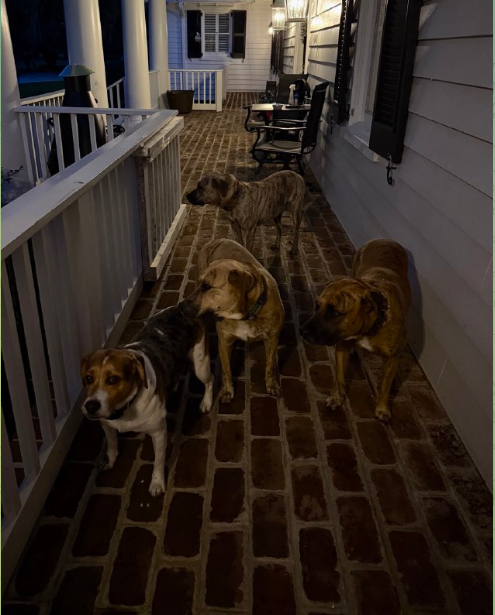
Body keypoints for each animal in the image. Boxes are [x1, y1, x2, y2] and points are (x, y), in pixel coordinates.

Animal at [80, 305, 214, 496]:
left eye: (113, 379)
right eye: (88, 378)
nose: (90, 406)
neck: (126, 408)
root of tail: (181, 307)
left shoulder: (159, 433)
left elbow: (158, 462)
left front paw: (157, 483)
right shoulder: (106, 425)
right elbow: (112, 444)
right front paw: (110, 460)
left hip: (201, 365)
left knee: (210, 380)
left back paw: (206, 402)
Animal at [185, 239, 284, 403]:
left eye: (207, 286)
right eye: (201, 285)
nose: (182, 305)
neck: (245, 315)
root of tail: (216, 240)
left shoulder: (272, 339)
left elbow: (270, 365)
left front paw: (272, 384)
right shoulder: (224, 342)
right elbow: (226, 370)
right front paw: (226, 390)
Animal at [300, 239, 411, 422]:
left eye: (335, 313)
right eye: (317, 306)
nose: (303, 331)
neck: (369, 328)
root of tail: (385, 239)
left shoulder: (391, 357)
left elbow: (385, 386)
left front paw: (382, 408)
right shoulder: (341, 347)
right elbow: (339, 376)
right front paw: (337, 397)